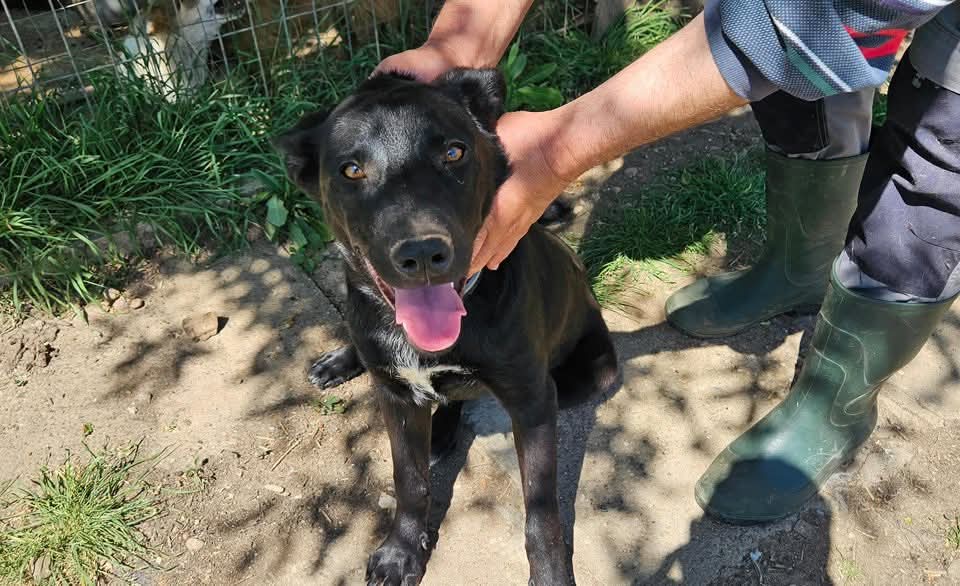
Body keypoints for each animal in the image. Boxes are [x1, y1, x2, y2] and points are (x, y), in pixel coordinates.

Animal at [274, 69, 619, 585]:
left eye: (454, 153)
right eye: (351, 170)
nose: (421, 254)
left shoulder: (534, 400)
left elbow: (541, 510)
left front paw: (551, 575)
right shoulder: (395, 398)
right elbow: (410, 480)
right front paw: (401, 552)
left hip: (590, 373)